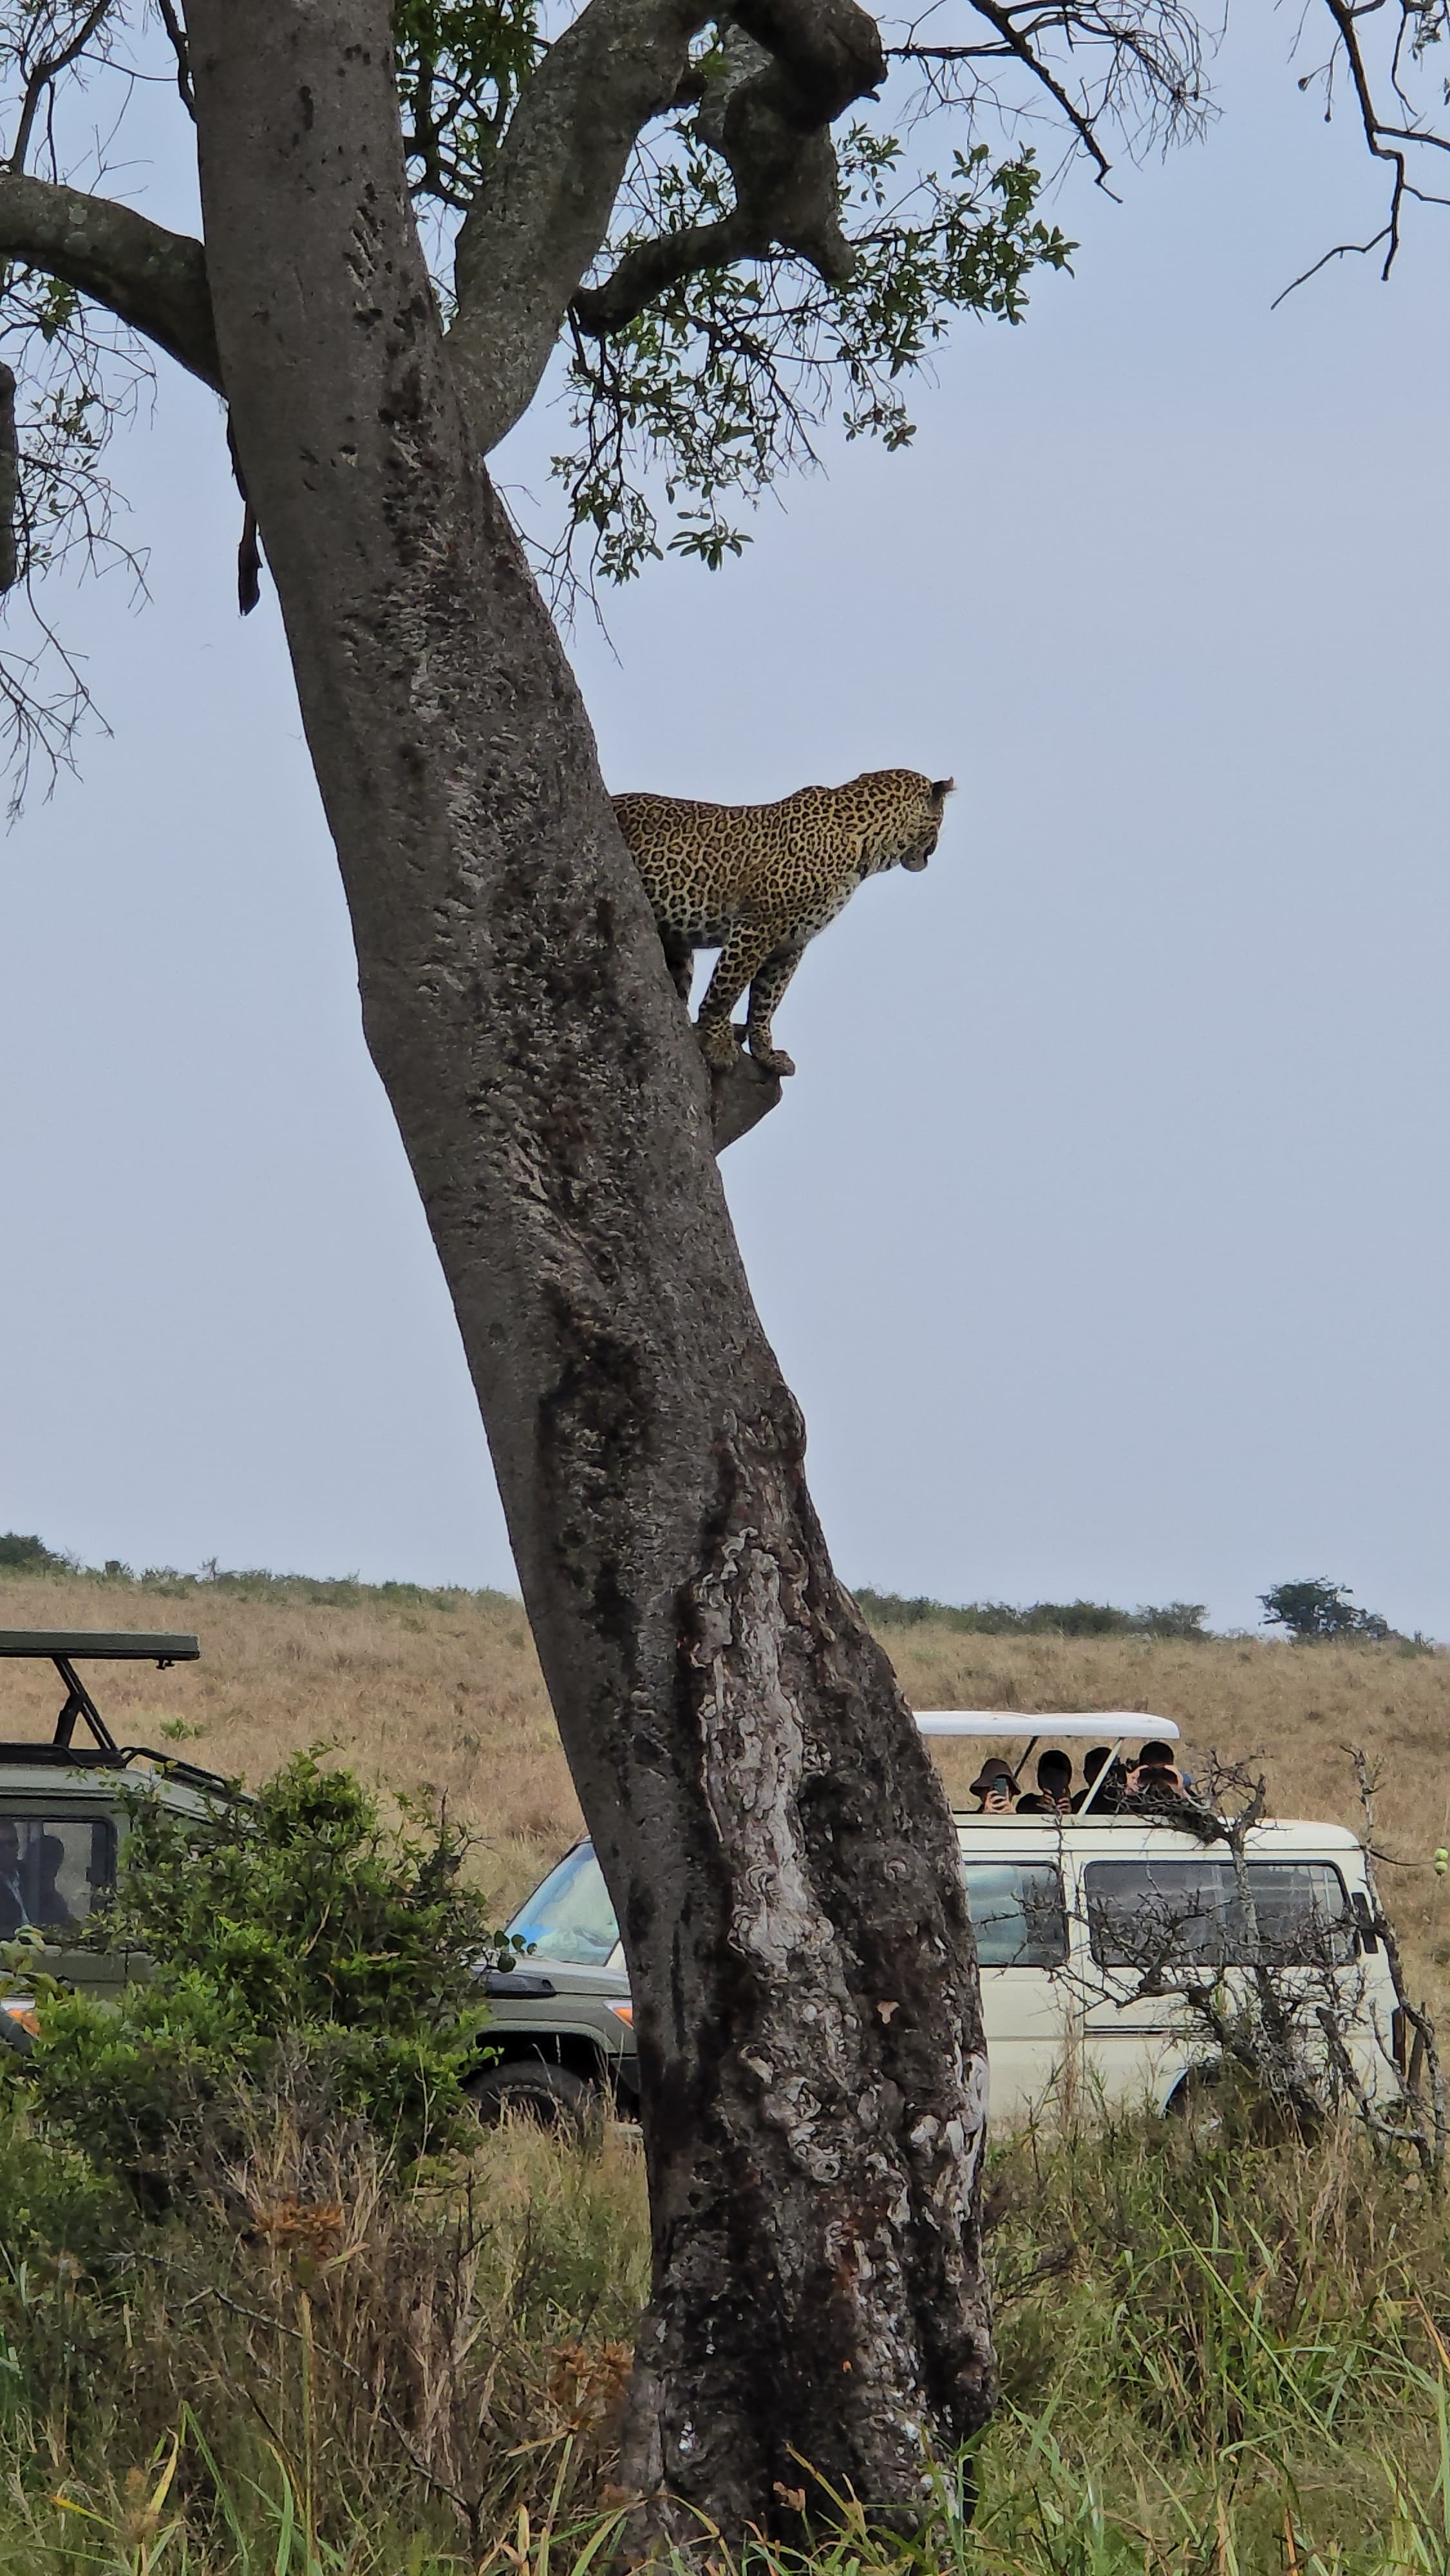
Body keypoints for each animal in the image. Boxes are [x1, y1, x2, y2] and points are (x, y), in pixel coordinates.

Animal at [612, 768, 955, 1078]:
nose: (934, 852)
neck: (865, 844)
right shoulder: (758, 924)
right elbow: (728, 987)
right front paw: (717, 1042)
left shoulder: (791, 942)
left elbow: (767, 998)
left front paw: (766, 1052)